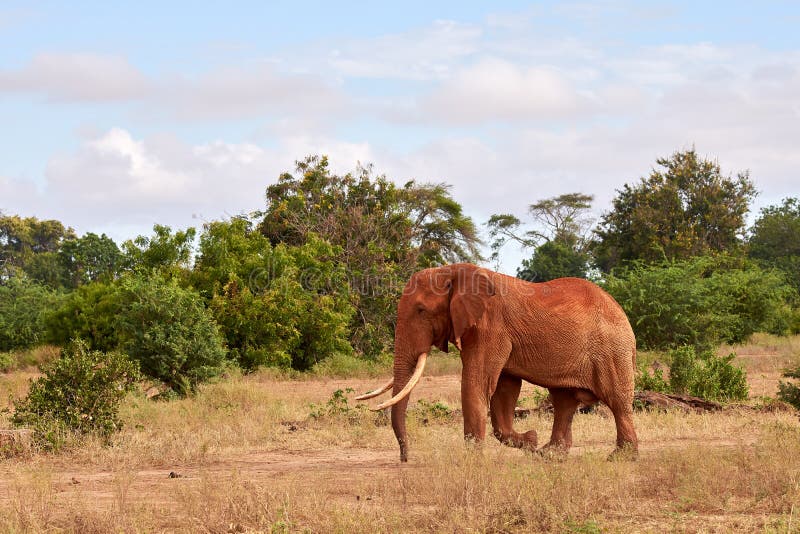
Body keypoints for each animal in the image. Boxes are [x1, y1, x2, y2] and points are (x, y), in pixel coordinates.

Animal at [356, 263, 638, 462]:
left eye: (421, 311)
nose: (405, 458)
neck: (454, 271)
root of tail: (621, 311)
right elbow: (504, 389)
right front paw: (529, 441)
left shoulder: (490, 327)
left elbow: (477, 383)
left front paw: (471, 461)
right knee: (564, 401)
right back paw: (548, 455)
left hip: (612, 350)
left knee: (616, 400)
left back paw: (620, 458)